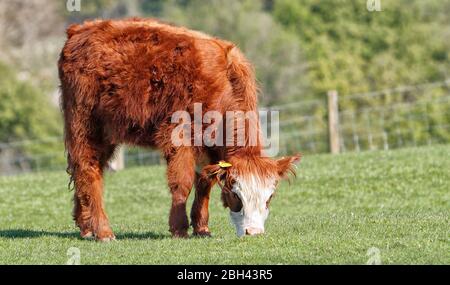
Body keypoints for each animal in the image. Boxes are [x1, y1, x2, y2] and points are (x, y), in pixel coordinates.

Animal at [58, 18, 300, 240]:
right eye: (236, 195)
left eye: (270, 197)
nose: (254, 232)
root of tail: (81, 28)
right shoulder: (179, 136)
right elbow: (182, 183)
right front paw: (179, 228)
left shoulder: (210, 148)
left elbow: (205, 182)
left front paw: (202, 227)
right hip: (84, 125)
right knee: (87, 170)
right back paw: (103, 231)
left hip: (106, 133)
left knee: (90, 171)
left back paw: (86, 226)